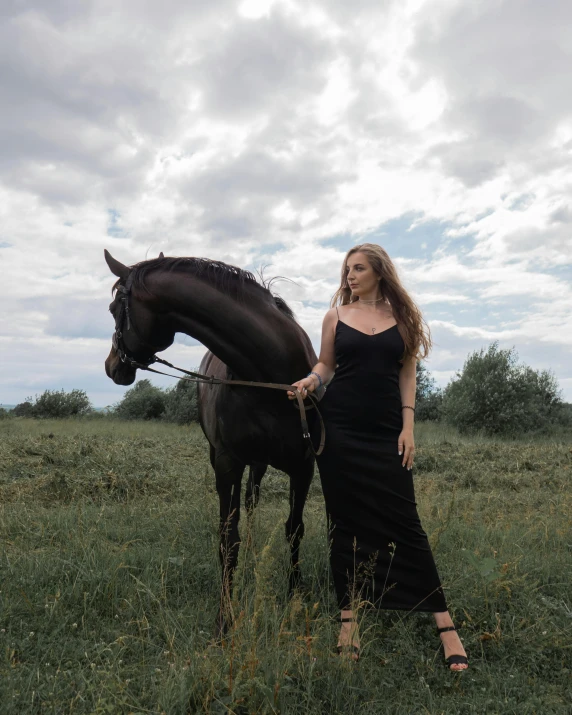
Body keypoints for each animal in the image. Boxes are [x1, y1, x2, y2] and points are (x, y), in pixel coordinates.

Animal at [104, 250, 324, 636]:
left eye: (116, 309)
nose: (111, 365)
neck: (270, 375)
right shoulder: (228, 464)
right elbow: (228, 538)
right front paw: (225, 618)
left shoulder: (304, 465)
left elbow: (295, 530)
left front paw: (295, 596)